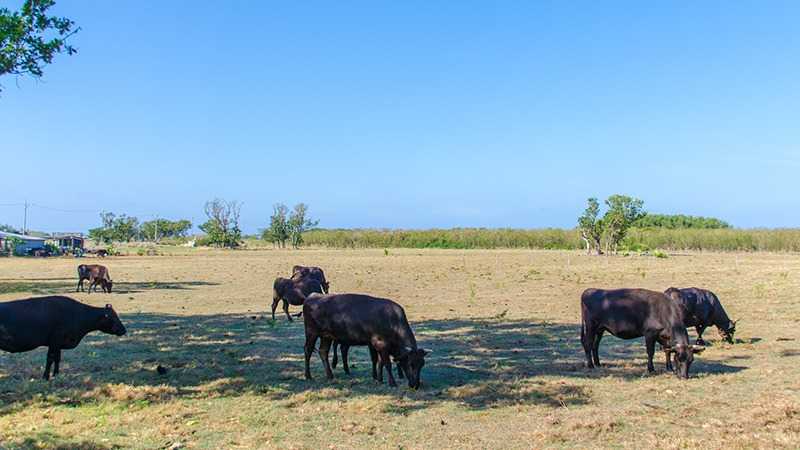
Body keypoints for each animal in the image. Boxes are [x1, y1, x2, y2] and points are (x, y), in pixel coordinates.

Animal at [580, 286, 708, 378]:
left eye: (691, 360)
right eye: (679, 359)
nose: (684, 376)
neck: (665, 312)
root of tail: (589, 290)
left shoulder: (664, 337)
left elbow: (667, 351)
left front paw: (669, 368)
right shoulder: (650, 334)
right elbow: (650, 352)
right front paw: (651, 369)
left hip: (600, 329)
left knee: (595, 345)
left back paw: (597, 363)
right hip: (591, 326)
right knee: (588, 343)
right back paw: (590, 365)